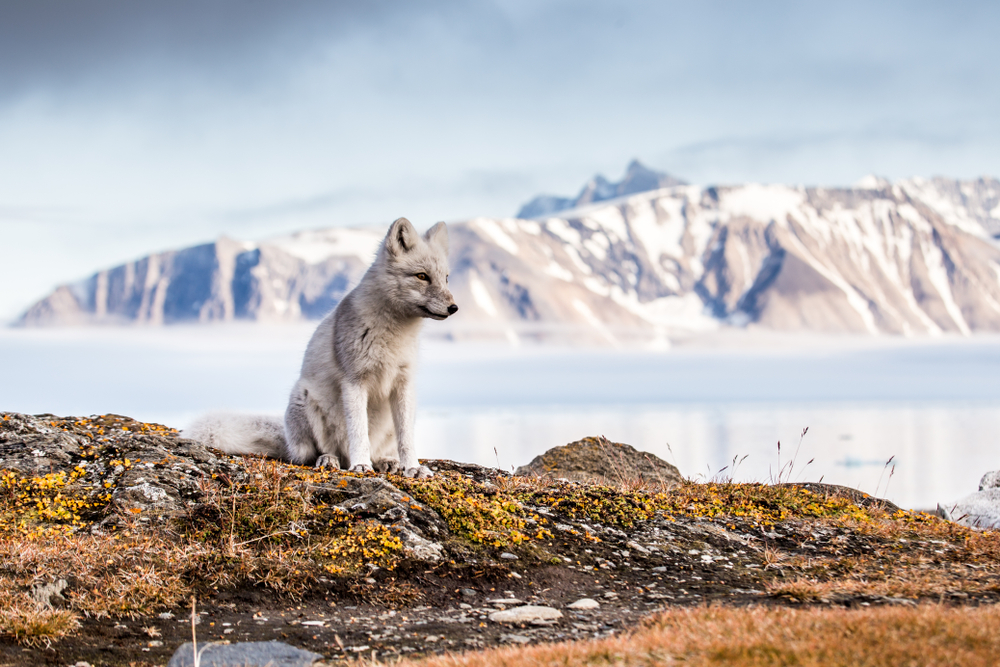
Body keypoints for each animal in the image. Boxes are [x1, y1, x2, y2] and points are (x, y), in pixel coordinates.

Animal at [184, 217, 457, 479]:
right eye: (421, 276)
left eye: (446, 278)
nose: (454, 308)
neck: (394, 334)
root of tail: (288, 439)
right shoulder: (354, 381)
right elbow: (359, 432)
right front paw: (360, 465)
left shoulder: (403, 383)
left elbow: (407, 439)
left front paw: (413, 468)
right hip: (304, 401)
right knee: (311, 455)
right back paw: (331, 460)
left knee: (380, 450)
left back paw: (386, 462)